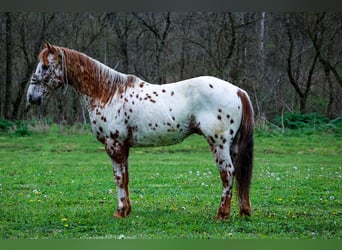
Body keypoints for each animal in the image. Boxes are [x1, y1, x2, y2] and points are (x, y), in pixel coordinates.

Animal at [26, 42, 254, 219]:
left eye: (45, 66)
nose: (31, 97)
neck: (107, 93)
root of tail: (238, 91)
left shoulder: (114, 144)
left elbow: (118, 178)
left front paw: (120, 212)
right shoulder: (123, 146)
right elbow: (125, 178)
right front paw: (126, 210)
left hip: (218, 144)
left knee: (227, 173)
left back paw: (221, 214)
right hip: (232, 146)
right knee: (237, 174)